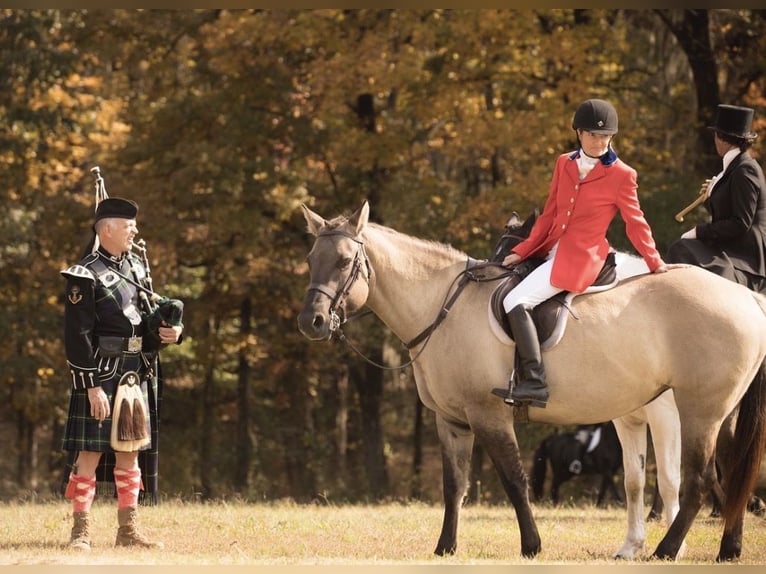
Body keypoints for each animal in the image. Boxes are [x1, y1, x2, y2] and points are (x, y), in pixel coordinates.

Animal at [297, 201, 766, 561]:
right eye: (310, 261)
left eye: (344, 262)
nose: (311, 322)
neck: (443, 307)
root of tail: (746, 296)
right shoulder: (451, 421)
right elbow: (454, 486)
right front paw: (445, 548)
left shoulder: (489, 415)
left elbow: (513, 480)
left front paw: (531, 545)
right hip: (721, 413)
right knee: (732, 473)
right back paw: (728, 549)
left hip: (699, 411)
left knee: (700, 480)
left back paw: (667, 550)